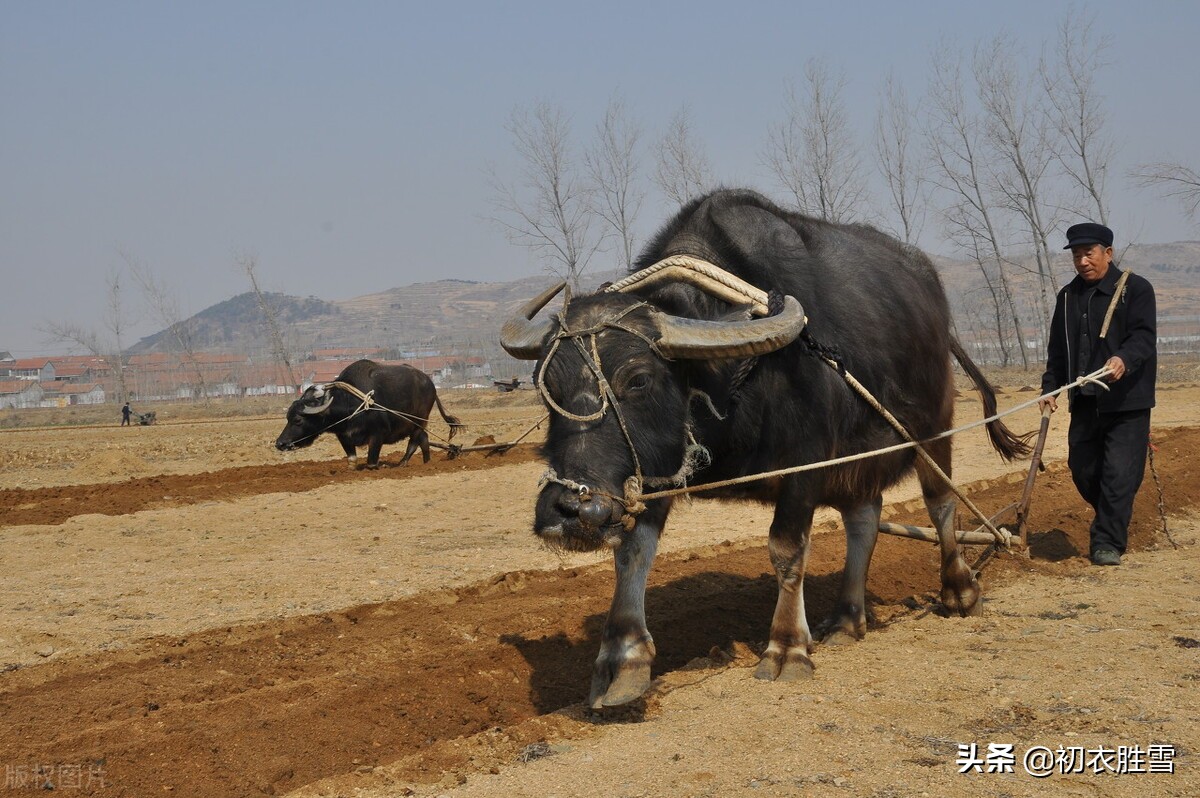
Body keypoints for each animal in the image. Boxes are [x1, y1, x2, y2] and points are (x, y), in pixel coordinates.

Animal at [276, 360, 463, 468]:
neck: (351, 405)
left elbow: (371, 463)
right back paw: (426, 464)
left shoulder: (377, 435)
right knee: (423, 439)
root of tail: (430, 384)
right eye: (287, 418)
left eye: (298, 420)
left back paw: (402, 464)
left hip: (420, 420)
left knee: (415, 441)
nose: (280, 443)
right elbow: (352, 461)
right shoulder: (344, 437)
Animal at [501, 189, 1027, 705]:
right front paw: (621, 661)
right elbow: (633, 551)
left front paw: (787, 648)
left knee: (940, 504)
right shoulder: (653, 468)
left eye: (638, 379)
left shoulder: (805, 466)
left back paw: (959, 590)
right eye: (545, 382)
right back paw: (846, 619)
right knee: (864, 520)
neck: (730, 380)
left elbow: (787, 548)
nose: (571, 508)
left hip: (934, 429)